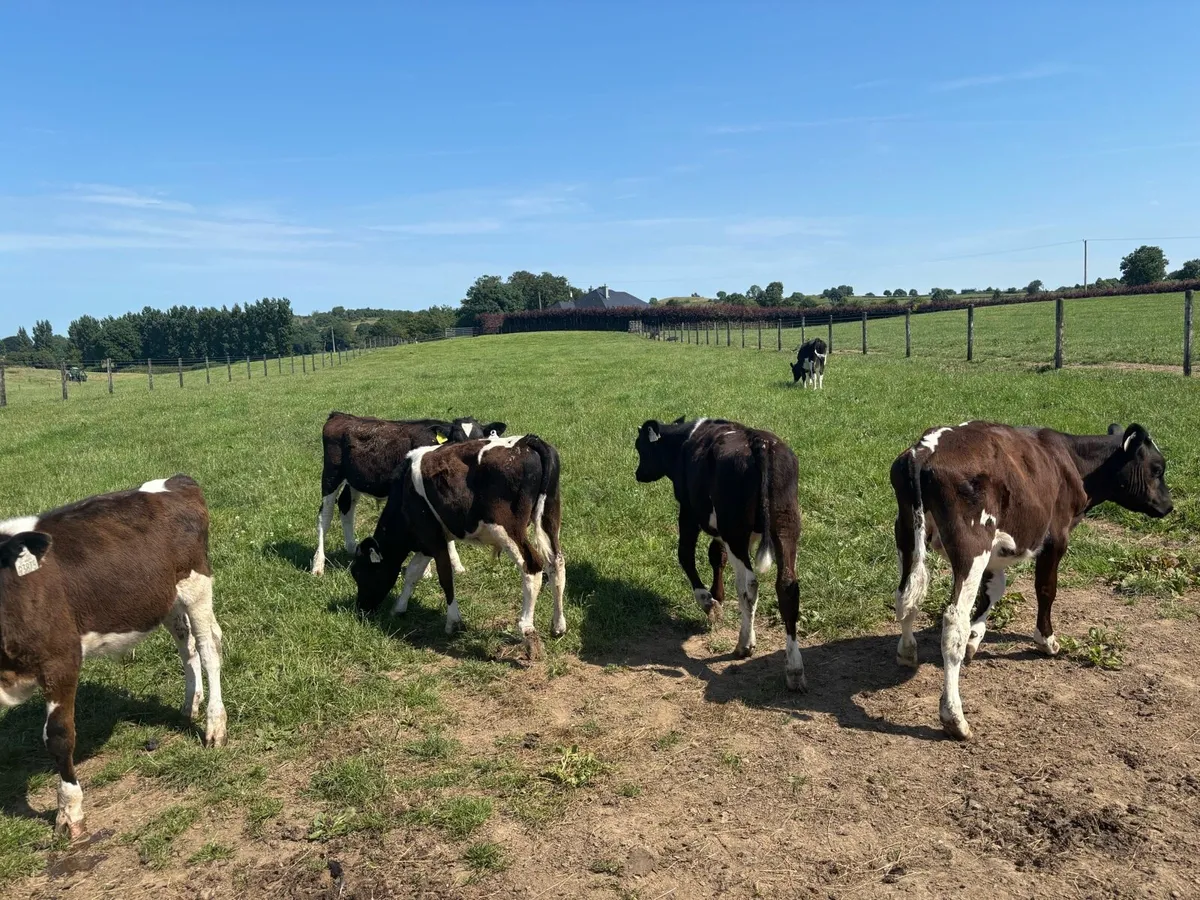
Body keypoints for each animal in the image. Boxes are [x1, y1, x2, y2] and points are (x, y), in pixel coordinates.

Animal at [0, 475, 226, 838]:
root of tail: (177, 480)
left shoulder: (61, 659)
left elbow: (59, 736)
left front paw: (69, 812)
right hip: (164, 597)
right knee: (186, 644)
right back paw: (190, 703)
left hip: (195, 584)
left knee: (208, 647)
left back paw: (215, 725)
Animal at [312, 412, 505, 575]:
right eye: (456, 439)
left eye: (480, 439)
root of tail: (340, 415)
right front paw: (426, 571)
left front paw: (456, 566)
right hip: (331, 475)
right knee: (325, 515)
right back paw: (318, 565)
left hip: (354, 480)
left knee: (346, 506)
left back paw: (352, 548)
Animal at [350, 433, 567, 659]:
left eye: (359, 573)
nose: (361, 608)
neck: (404, 493)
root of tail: (526, 441)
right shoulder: (428, 540)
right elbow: (412, 573)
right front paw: (399, 607)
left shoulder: (432, 538)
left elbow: (445, 577)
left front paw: (453, 621)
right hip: (550, 516)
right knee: (556, 564)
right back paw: (558, 626)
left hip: (508, 529)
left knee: (531, 566)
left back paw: (527, 630)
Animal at [634, 417, 806, 690]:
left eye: (640, 447)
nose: (638, 474)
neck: (683, 442)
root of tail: (760, 442)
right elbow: (717, 556)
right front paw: (718, 595)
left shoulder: (690, 512)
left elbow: (685, 554)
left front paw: (709, 601)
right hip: (786, 524)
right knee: (787, 585)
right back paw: (794, 669)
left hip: (735, 531)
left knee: (749, 585)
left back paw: (744, 644)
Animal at [891, 421, 1173, 740]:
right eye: (1157, 468)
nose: (1169, 505)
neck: (1071, 460)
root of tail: (924, 449)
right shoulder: (1056, 538)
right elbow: (1046, 590)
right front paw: (1046, 640)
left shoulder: (997, 549)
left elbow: (994, 590)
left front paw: (976, 636)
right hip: (971, 543)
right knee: (953, 621)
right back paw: (954, 718)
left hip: (906, 532)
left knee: (904, 597)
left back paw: (907, 651)